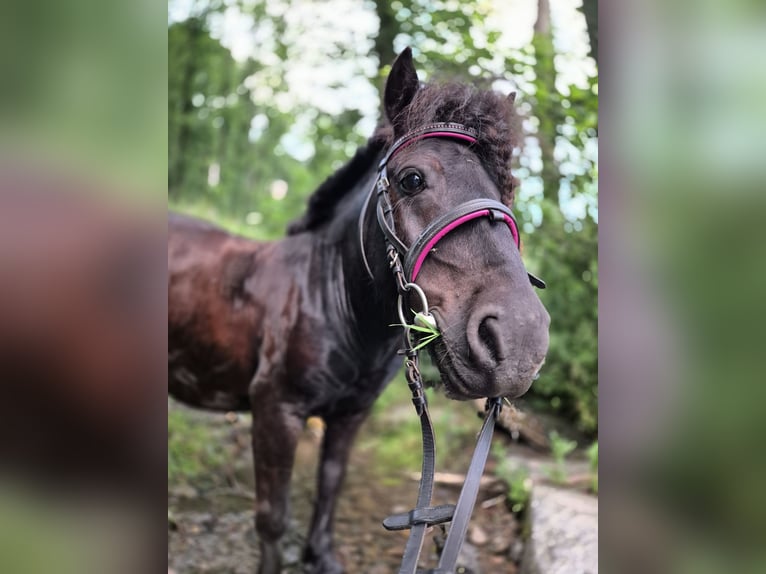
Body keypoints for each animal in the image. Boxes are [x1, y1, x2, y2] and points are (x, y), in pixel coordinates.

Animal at [170, 50, 552, 574]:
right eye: (412, 179)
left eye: (509, 188)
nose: (518, 339)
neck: (331, 303)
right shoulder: (275, 413)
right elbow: (272, 518)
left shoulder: (349, 417)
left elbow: (329, 489)